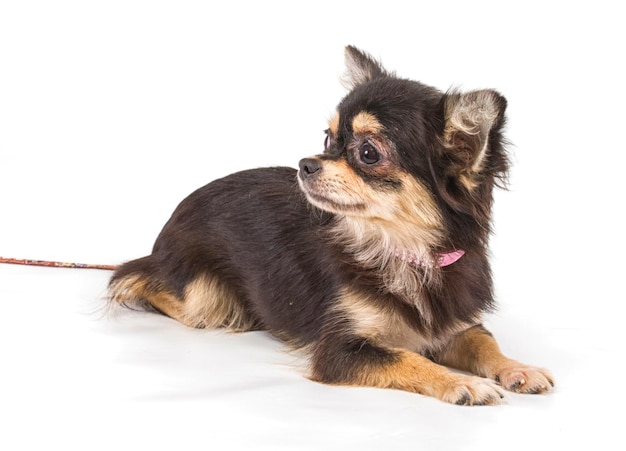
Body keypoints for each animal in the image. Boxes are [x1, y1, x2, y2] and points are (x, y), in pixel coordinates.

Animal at [107, 46, 552, 406]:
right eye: (327, 139)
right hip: (200, 297)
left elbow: (485, 344)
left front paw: (518, 367)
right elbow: (407, 357)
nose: (305, 163)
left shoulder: (458, 326)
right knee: (137, 281)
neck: (403, 251)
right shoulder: (340, 349)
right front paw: (463, 383)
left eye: (368, 153)